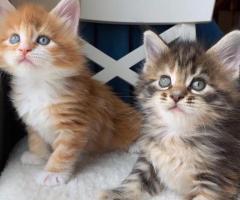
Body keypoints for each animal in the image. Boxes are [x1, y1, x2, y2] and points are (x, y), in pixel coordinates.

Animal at [0, 0, 141, 186]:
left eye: (43, 40)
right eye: (15, 38)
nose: (24, 50)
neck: (37, 83)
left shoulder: (74, 124)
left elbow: (63, 152)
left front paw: (53, 173)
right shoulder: (33, 121)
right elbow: (36, 139)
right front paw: (38, 155)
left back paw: (136, 144)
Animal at [99, 30, 240, 199]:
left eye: (198, 84)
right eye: (164, 81)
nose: (176, 96)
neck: (176, 134)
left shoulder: (217, 179)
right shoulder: (149, 161)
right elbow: (135, 178)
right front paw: (117, 194)